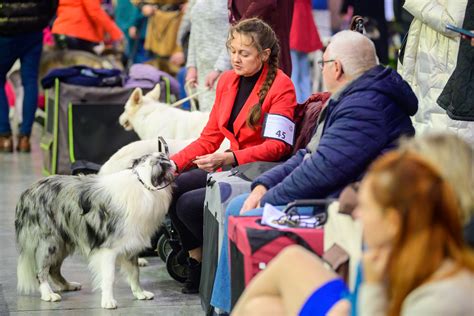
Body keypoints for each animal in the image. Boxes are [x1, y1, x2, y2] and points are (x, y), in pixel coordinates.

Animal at [16, 152, 177, 308]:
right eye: (165, 158)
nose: (174, 162)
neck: (143, 182)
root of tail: (27, 192)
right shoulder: (108, 249)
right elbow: (109, 277)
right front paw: (108, 301)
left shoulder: (131, 245)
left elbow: (134, 272)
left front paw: (140, 293)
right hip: (49, 242)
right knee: (41, 270)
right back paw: (48, 294)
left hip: (64, 242)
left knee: (54, 269)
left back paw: (67, 285)